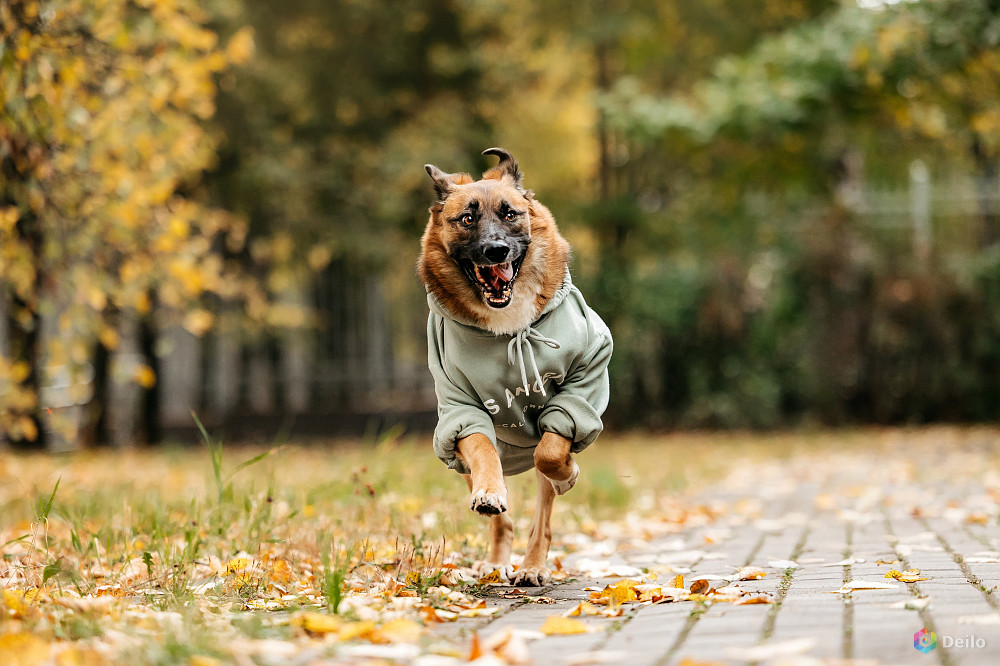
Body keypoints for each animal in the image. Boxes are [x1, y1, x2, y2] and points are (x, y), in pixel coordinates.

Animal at [414, 148, 608, 584]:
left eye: (510, 213)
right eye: (467, 219)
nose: (496, 251)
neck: (508, 327)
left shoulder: (582, 383)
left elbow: (550, 455)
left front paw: (568, 473)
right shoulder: (460, 409)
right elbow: (483, 451)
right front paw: (490, 493)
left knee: (542, 510)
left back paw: (533, 566)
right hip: (456, 452)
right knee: (499, 514)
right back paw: (498, 559)